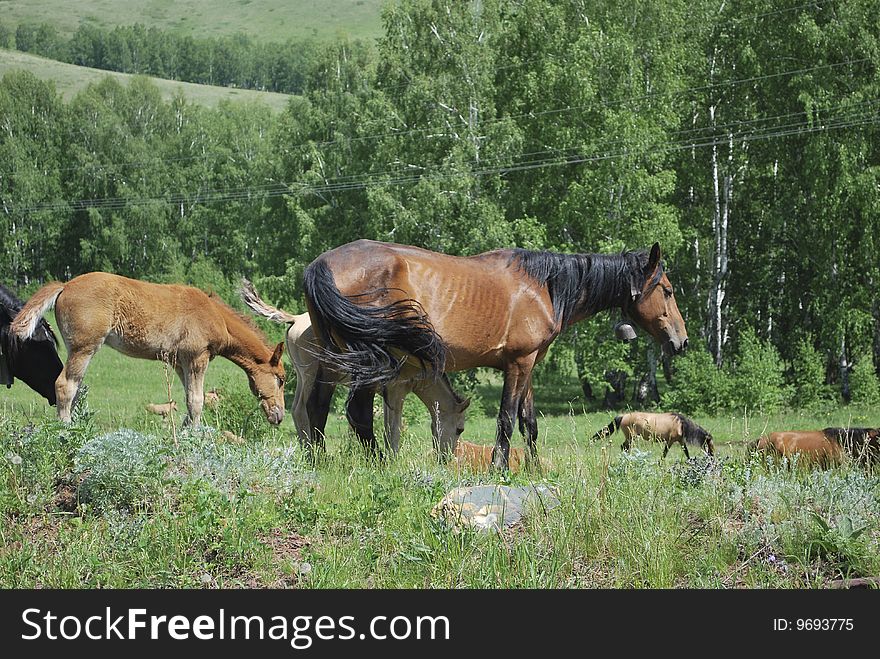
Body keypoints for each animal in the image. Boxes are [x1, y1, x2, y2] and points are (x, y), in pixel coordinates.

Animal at [11, 274, 286, 428]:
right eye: (281, 379)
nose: (280, 416)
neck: (214, 315)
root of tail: (66, 285)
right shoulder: (197, 357)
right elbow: (197, 401)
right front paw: (197, 435)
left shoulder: (179, 362)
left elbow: (189, 400)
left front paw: (185, 431)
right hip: (84, 348)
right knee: (65, 386)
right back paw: (66, 430)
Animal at [237, 278, 470, 458]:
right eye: (460, 428)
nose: (446, 458)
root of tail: (296, 319)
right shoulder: (396, 390)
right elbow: (393, 427)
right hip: (313, 374)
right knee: (303, 409)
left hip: (304, 376)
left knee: (296, 409)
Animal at [302, 238, 688, 470]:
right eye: (667, 291)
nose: (681, 341)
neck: (542, 286)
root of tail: (321, 264)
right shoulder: (518, 363)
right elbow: (506, 419)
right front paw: (499, 467)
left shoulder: (529, 363)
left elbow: (529, 423)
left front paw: (533, 468)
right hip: (368, 360)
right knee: (358, 412)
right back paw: (378, 464)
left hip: (332, 355)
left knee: (317, 406)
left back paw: (317, 462)